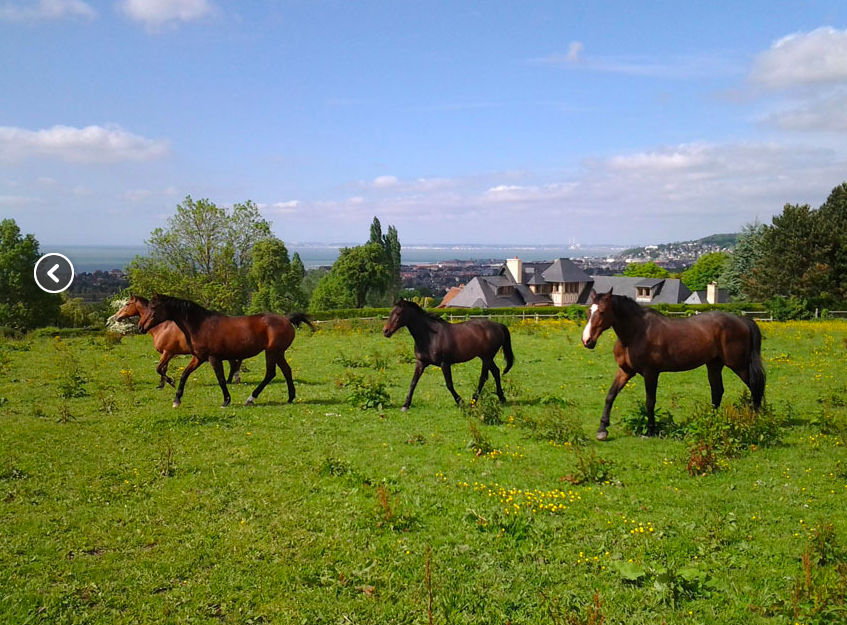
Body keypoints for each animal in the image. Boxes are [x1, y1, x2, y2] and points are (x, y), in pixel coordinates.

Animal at [137, 294, 315, 408]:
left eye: (153, 307)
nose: (140, 327)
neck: (200, 326)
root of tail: (286, 319)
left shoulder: (214, 358)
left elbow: (221, 379)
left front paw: (226, 400)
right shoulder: (198, 358)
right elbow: (184, 375)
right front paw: (177, 399)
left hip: (272, 352)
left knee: (270, 374)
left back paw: (251, 398)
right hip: (278, 353)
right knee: (286, 371)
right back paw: (290, 397)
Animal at [382, 300, 515, 410]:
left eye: (399, 313)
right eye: (391, 312)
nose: (385, 331)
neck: (430, 337)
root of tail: (499, 326)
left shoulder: (444, 363)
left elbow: (449, 384)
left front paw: (460, 402)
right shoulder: (421, 362)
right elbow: (413, 382)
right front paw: (405, 405)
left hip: (486, 357)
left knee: (483, 378)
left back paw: (473, 401)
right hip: (486, 357)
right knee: (496, 372)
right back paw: (501, 398)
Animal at [581, 288, 765, 440]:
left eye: (602, 312)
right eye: (589, 311)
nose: (587, 341)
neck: (636, 333)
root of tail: (742, 320)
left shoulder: (650, 373)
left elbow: (650, 401)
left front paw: (650, 430)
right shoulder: (625, 371)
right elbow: (610, 396)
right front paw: (602, 430)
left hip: (739, 365)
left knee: (755, 387)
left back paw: (755, 421)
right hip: (714, 364)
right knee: (718, 391)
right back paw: (711, 421)